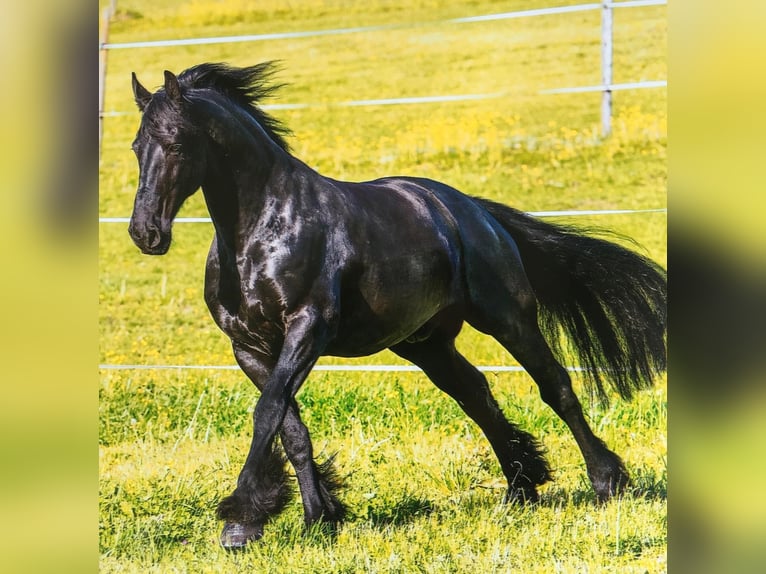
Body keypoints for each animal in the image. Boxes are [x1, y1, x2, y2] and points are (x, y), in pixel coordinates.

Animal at [127, 62, 664, 548]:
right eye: (136, 147)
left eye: (176, 143)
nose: (145, 233)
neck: (264, 230)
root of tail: (470, 209)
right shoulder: (250, 347)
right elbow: (290, 427)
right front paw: (320, 518)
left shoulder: (307, 328)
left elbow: (268, 413)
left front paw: (242, 521)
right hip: (424, 343)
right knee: (476, 394)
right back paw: (520, 489)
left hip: (507, 318)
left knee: (556, 386)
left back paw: (607, 482)